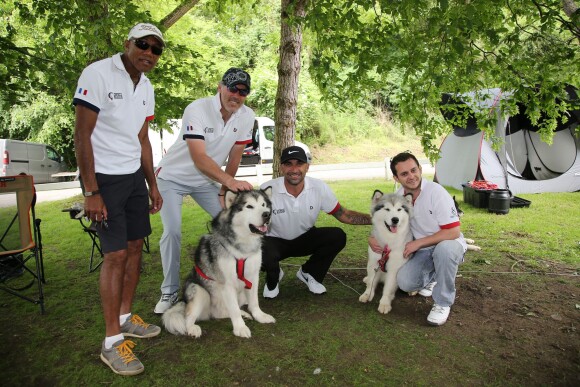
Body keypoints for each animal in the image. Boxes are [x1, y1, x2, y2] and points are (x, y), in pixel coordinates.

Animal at [161, 189, 274, 340]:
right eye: (249, 206)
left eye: (263, 205)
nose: (267, 214)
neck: (242, 246)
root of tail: (183, 301)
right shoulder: (227, 284)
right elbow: (234, 310)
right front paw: (240, 328)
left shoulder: (253, 277)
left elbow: (254, 302)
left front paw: (260, 316)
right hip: (200, 292)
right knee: (189, 318)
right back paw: (193, 329)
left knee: (222, 313)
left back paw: (243, 314)